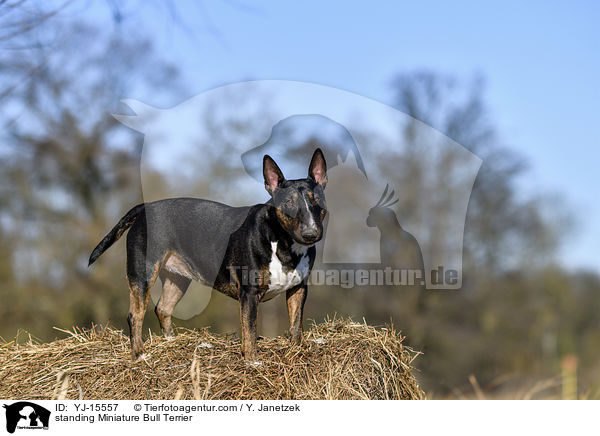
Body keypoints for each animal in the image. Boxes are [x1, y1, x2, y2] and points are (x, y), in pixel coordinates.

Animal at [88, 148, 328, 360]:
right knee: (135, 315)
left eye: (316, 199)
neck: (283, 242)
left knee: (163, 309)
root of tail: (144, 208)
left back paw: (171, 342)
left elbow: (296, 325)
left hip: (177, 278)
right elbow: (249, 331)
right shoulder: (249, 293)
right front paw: (252, 362)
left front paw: (297, 352)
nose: (311, 233)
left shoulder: (299, 288)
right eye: (289, 202)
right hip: (143, 273)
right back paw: (139, 354)